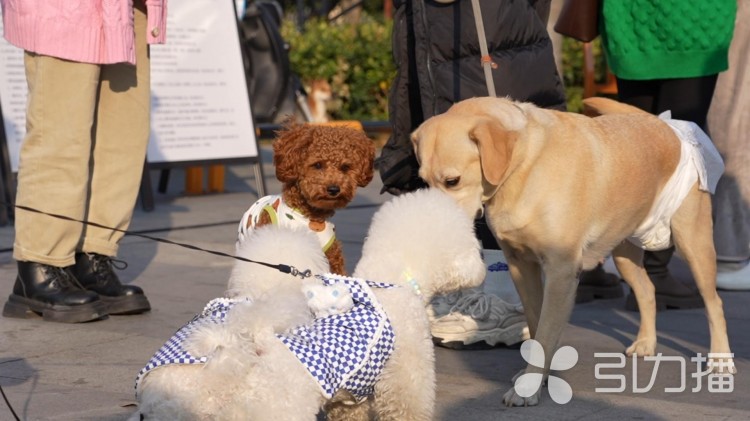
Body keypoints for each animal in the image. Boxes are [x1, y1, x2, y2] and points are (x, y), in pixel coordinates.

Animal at [412, 97, 736, 406]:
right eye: (424, 181)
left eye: (452, 181)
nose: (431, 228)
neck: (524, 167)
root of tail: (663, 124)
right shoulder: (520, 265)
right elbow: (536, 323)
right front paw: (537, 375)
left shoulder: (561, 271)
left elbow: (546, 331)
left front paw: (529, 387)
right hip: (623, 252)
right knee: (647, 290)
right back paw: (646, 342)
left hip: (694, 243)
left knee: (714, 303)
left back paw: (721, 359)